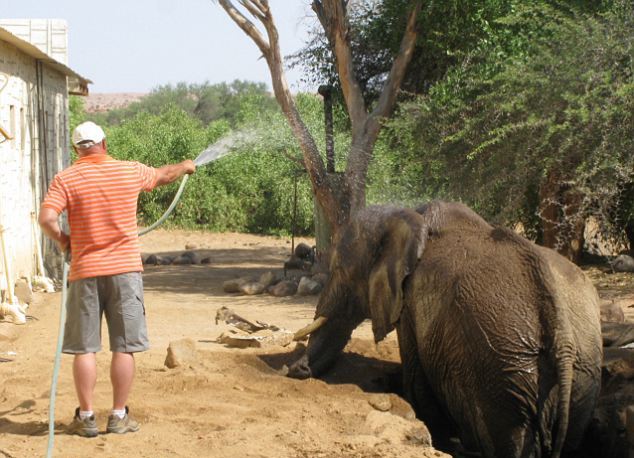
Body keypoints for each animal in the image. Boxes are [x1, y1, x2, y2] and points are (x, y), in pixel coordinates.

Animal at [288, 204, 604, 458]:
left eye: (340, 270)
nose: (295, 370)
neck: (408, 217)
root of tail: (562, 336)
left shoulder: (411, 303)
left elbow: (417, 381)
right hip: (582, 374)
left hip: (504, 369)